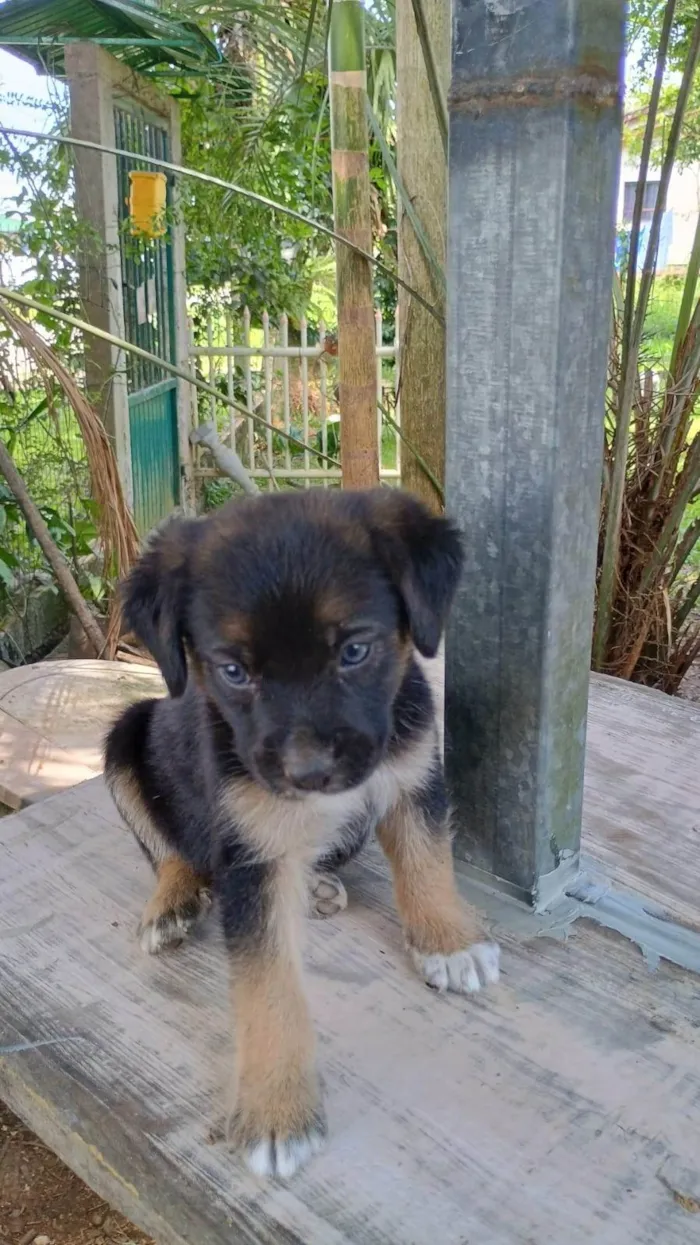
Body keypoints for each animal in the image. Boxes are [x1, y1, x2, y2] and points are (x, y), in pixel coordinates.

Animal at [102, 485, 495, 1175]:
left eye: (354, 651)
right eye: (233, 671)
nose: (308, 775)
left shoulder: (413, 774)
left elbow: (428, 861)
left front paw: (449, 940)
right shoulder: (250, 858)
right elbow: (268, 986)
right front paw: (276, 1112)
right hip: (126, 732)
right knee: (171, 852)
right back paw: (171, 904)